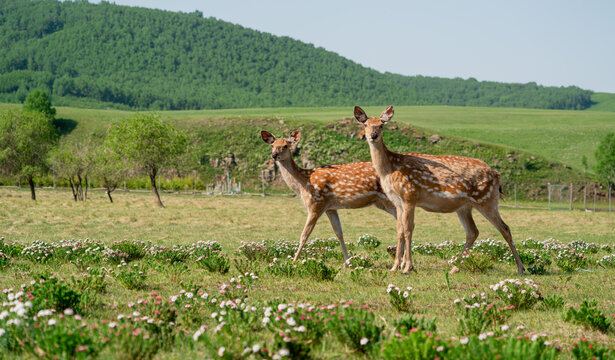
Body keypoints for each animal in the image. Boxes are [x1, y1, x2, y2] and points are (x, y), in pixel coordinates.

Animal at [258, 130, 394, 262]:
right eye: (272, 145)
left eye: (286, 145)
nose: (274, 155)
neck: (303, 183)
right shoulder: (330, 208)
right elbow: (339, 232)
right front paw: (347, 262)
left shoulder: (316, 204)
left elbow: (304, 235)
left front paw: (294, 261)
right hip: (381, 202)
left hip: (388, 198)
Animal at [356, 105, 524, 274]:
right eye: (365, 125)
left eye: (381, 125)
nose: (373, 136)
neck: (390, 169)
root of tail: (497, 175)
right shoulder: (397, 201)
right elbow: (400, 231)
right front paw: (395, 266)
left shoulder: (410, 195)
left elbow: (409, 229)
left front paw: (407, 267)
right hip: (465, 207)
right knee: (473, 232)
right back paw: (455, 268)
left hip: (487, 200)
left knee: (505, 228)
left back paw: (520, 268)